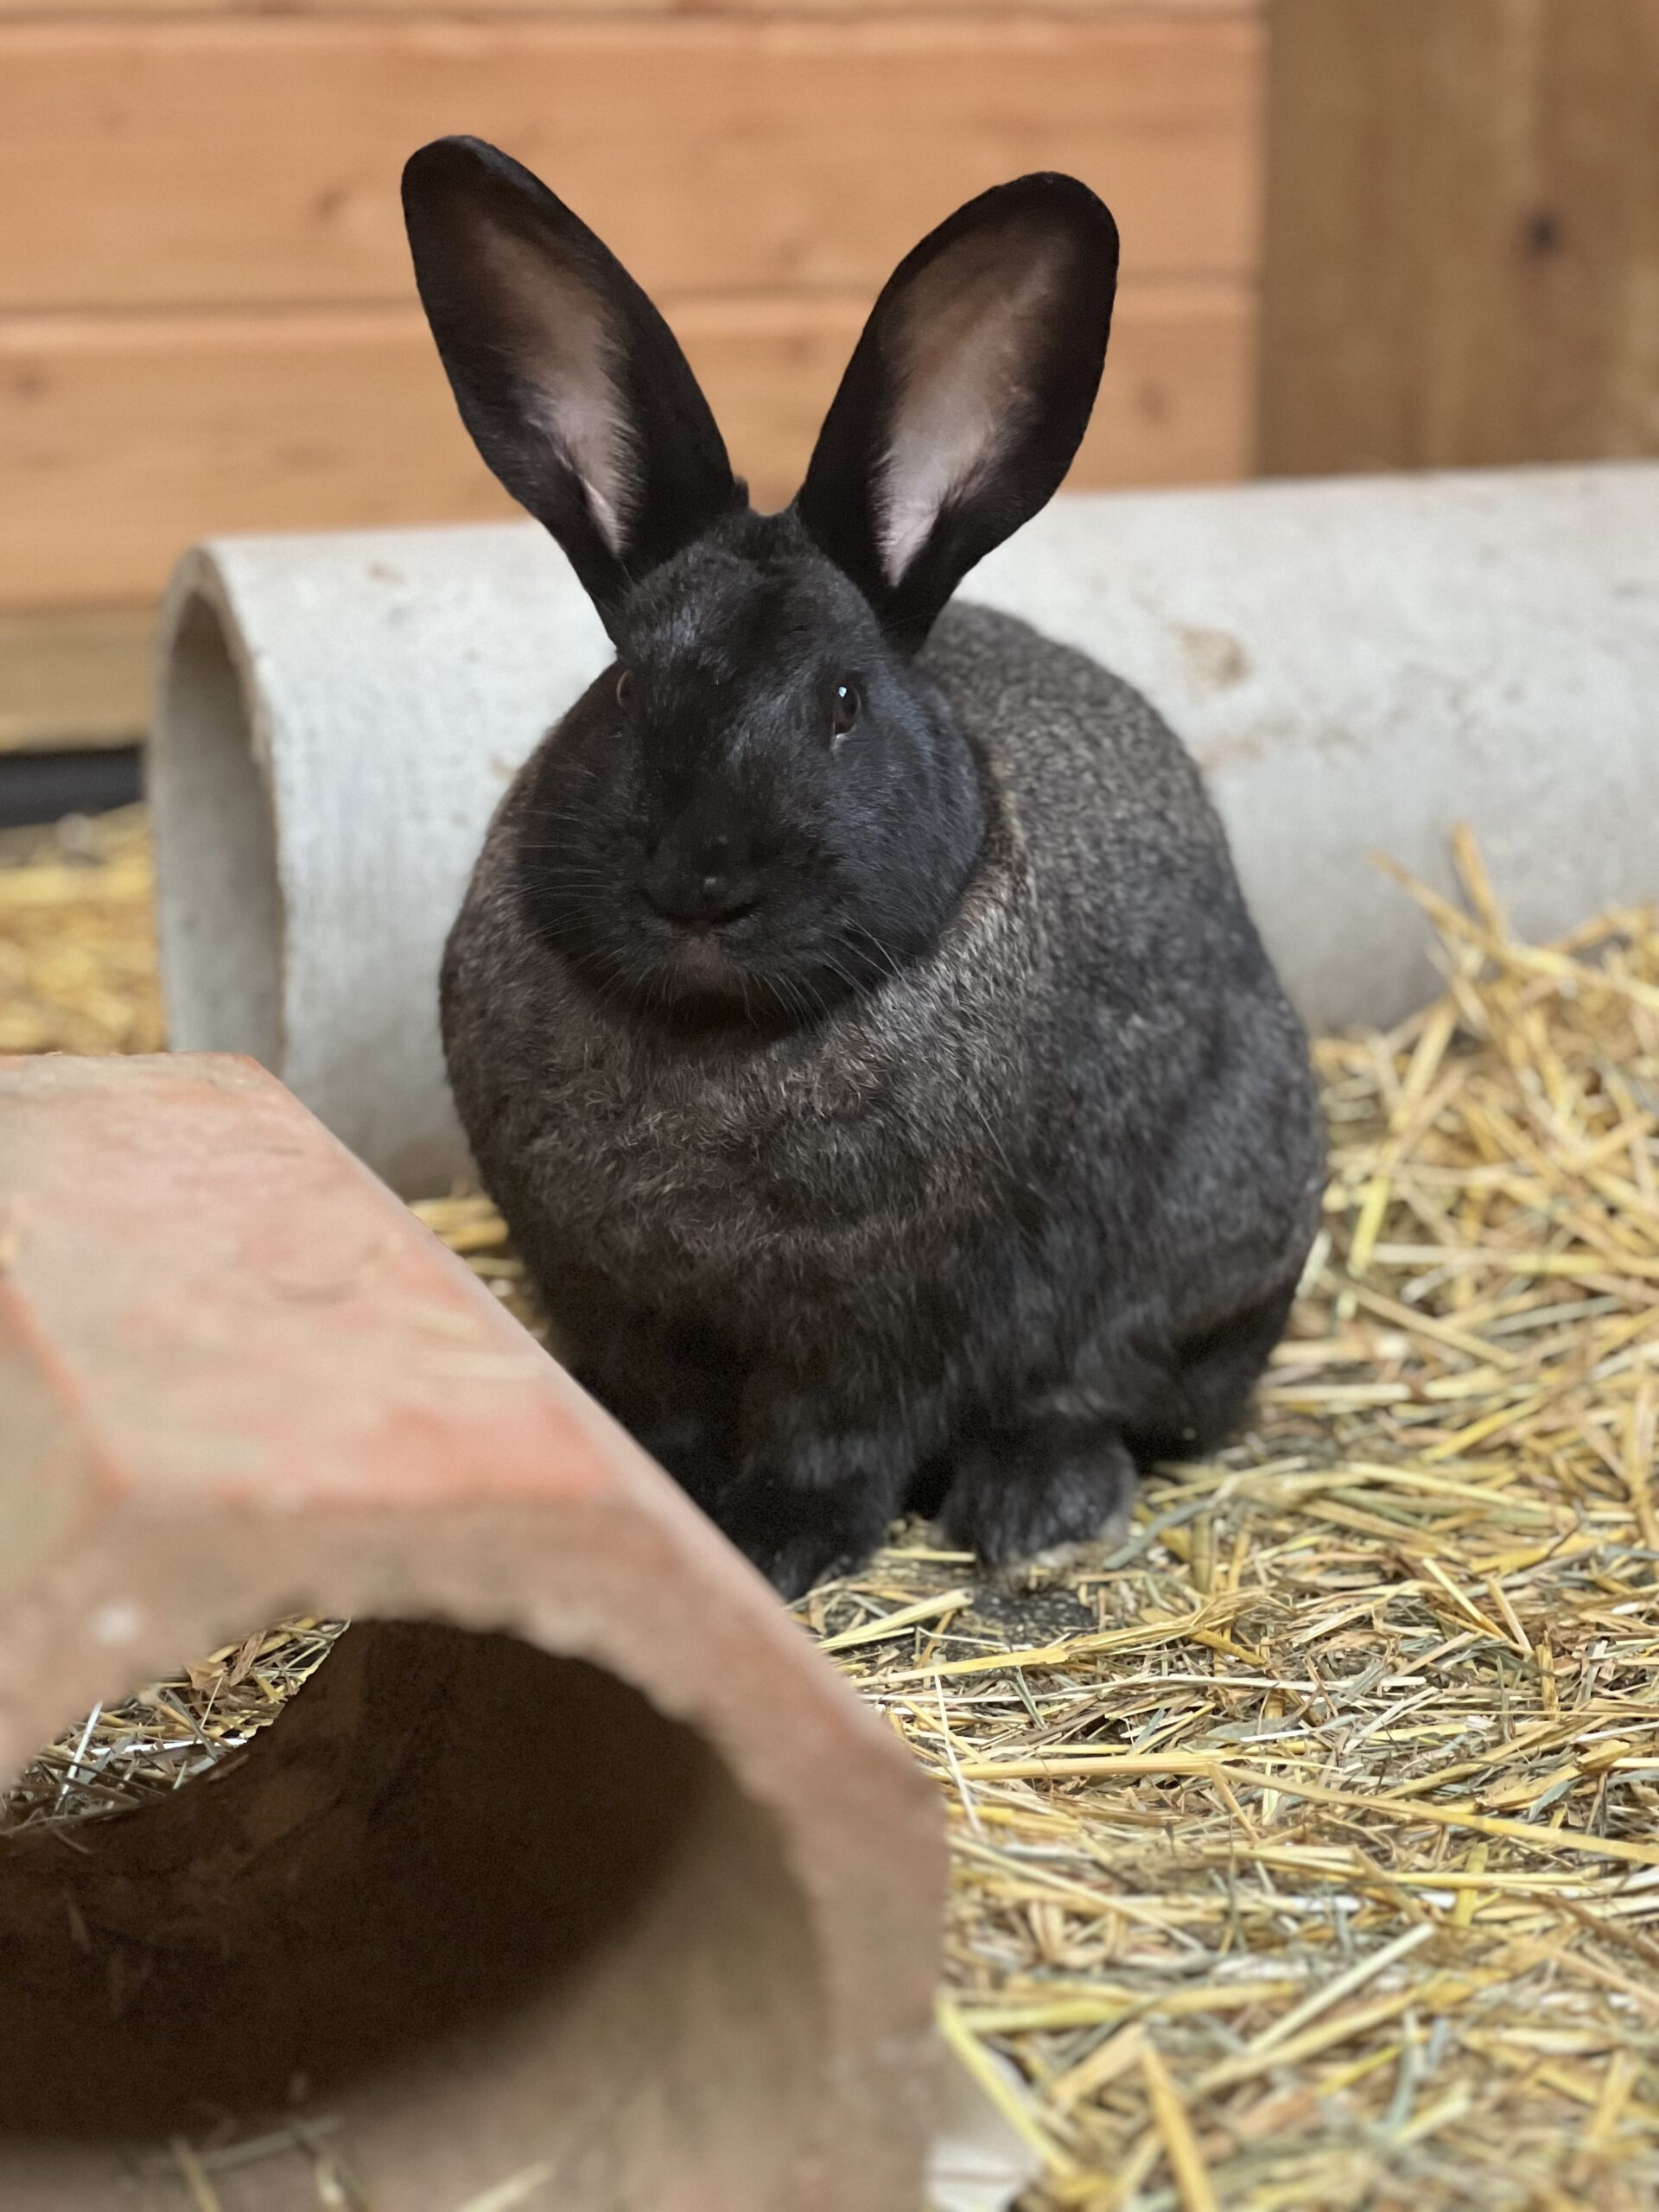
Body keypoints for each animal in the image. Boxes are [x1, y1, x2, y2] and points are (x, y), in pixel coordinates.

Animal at [402, 135, 1326, 1600]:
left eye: (841, 701)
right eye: (625, 689)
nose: (700, 883)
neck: (714, 1036)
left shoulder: (886, 1324)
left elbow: (838, 1438)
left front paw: (776, 1545)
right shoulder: (621, 1307)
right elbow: (661, 1414)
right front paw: (655, 1498)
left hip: (1210, 1245)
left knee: (1104, 1400)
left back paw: (1034, 1511)